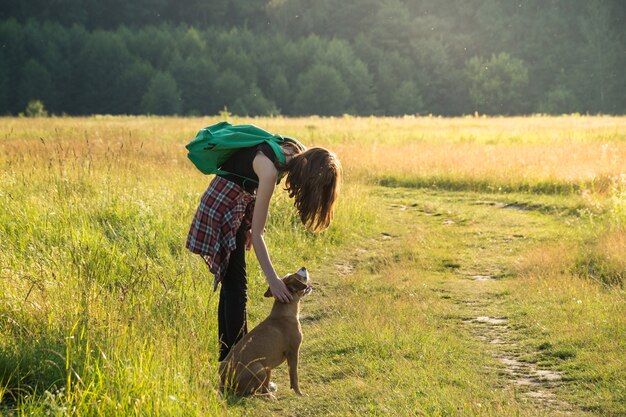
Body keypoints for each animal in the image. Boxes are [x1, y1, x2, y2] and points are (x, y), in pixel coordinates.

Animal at [219, 266, 312, 396]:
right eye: (298, 276)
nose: (303, 267)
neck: (283, 313)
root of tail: (224, 382)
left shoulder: (268, 364)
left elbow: (266, 382)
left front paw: (268, 390)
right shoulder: (293, 353)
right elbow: (294, 377)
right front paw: (299, 393)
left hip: (262, 368)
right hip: (259, 369)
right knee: (248, 394)